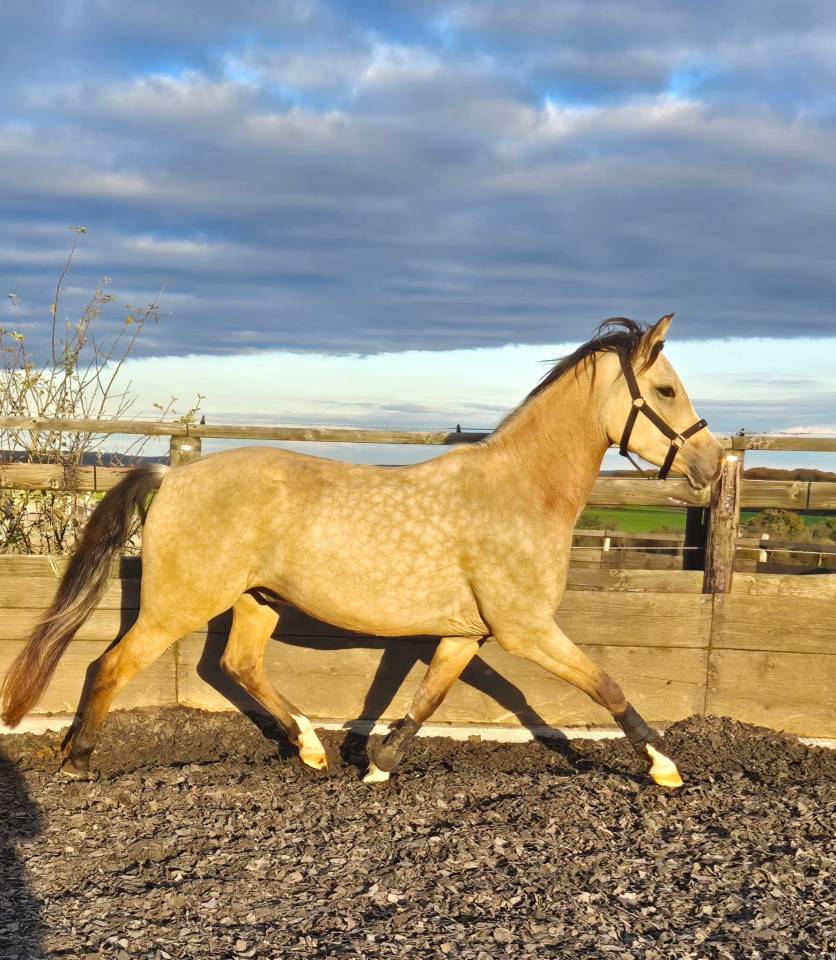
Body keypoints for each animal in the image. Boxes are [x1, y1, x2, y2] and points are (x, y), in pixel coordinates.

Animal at [1, 315, 723, 788]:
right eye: (665, 390)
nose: (713, 464)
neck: (520, 490)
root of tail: (171, 475)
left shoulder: (468, 633)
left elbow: (428, 699)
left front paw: (378, 763)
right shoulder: (525, 629)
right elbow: (603, 683)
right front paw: (664, 766)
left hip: (257, 600)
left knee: (238, 666)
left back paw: (312, 749)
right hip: (178, 606)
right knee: (112, 666)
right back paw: (80, 758)